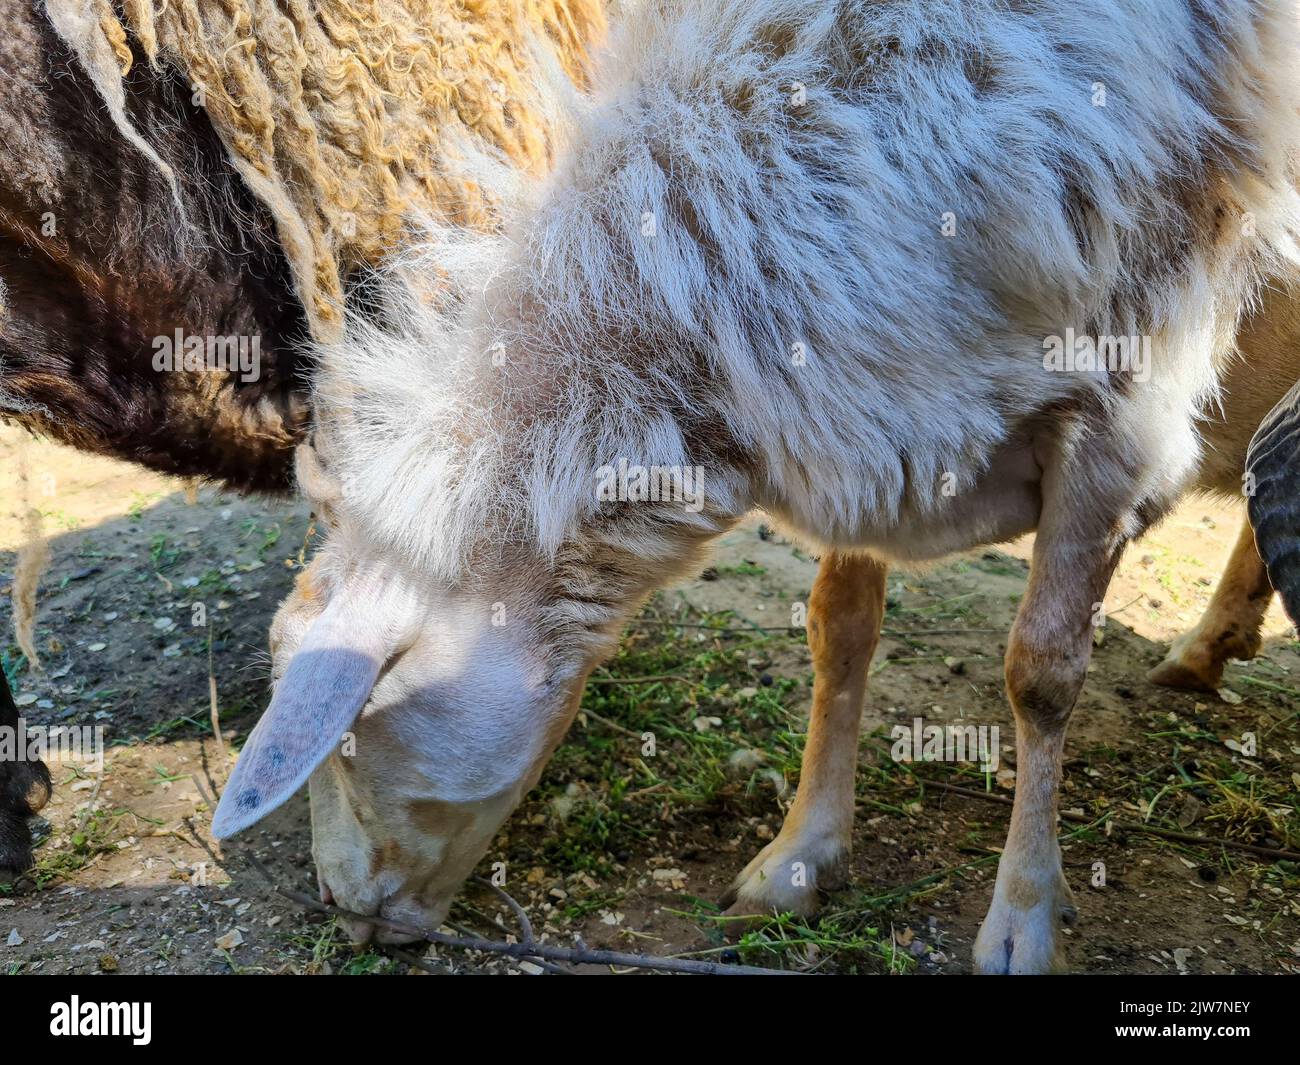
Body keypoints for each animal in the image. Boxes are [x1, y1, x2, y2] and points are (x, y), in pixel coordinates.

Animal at [210, 0, 1300, 973]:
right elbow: (838, 630)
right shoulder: (864, 419)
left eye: (349, 746)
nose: (341, 912)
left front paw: (1023, 918)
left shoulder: (1122, 410)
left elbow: (1041, 676)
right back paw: (1208, 645)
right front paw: (799, 857)